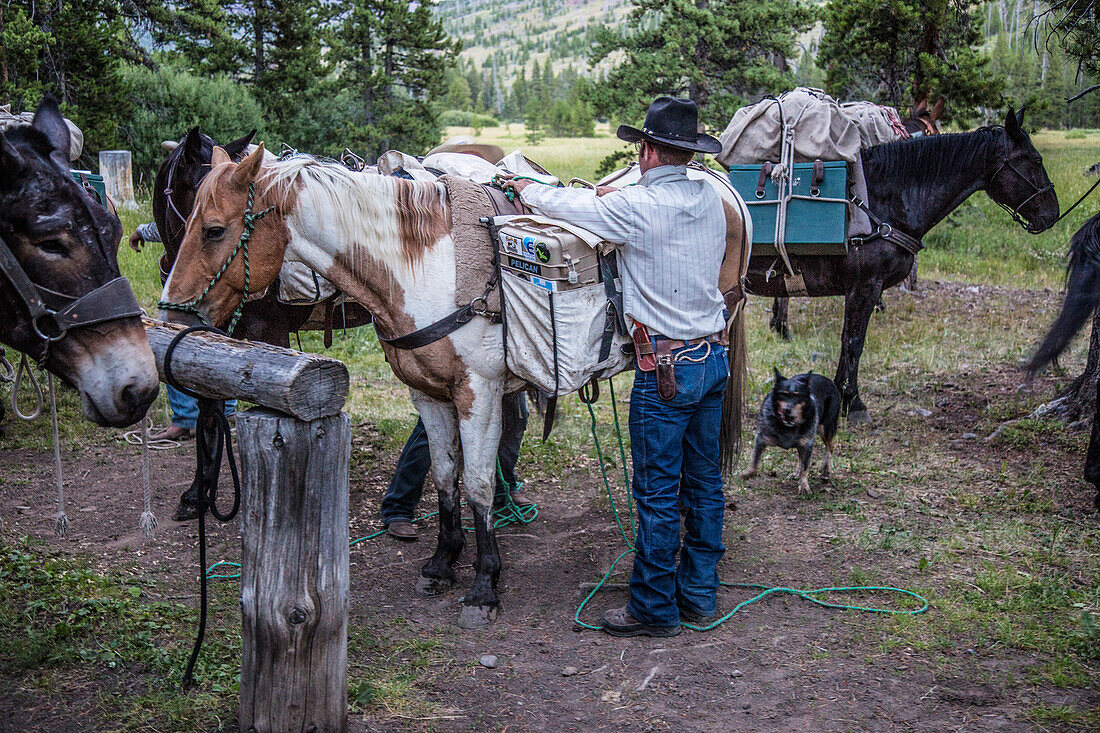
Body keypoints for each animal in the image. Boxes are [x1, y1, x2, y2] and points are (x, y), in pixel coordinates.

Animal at [160, 145, 748, 625]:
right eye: (187, 219)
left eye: (215, 229)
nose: (171, 313)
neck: (421, 266)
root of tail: (715, 184)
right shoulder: (427, 395)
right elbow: (445, 477)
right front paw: (442, 564)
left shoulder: (477, 395)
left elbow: (479, 485)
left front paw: (485, 584)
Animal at [748, 111, 1056, 424]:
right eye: (1035, 160)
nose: (1053, 213)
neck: (880, 202)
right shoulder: (866, 286)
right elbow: (854, 342)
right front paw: (854, 402)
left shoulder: (859, 289)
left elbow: (849, 340)